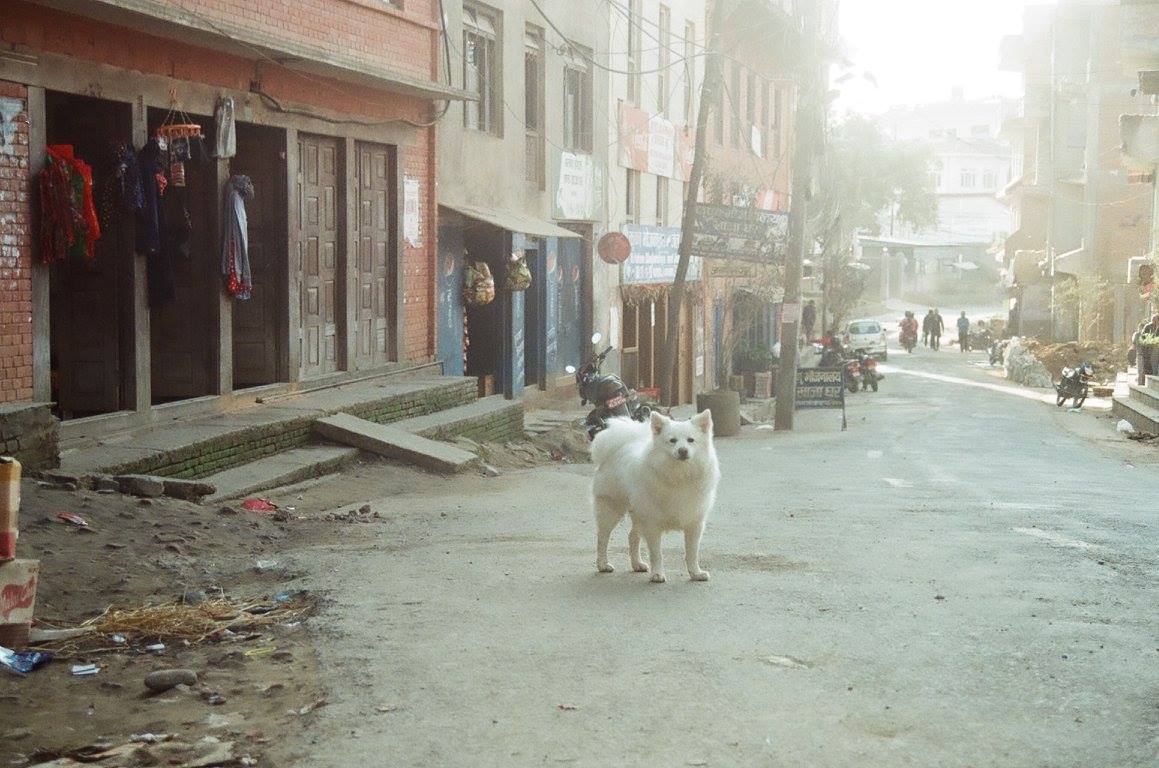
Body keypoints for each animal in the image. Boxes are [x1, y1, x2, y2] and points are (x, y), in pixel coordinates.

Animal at [590, 410, 720, 583]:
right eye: (672, 441)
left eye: (691, 440)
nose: (683, 450)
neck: (679, 475)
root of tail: (621, 446)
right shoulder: (652, 524)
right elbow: (656, 554)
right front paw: (657, 574)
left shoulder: (694, 523)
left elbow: (692, 553)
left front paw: (696, 573)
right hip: (611, 509)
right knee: (602, 538)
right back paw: (603, 564)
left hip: (638, 513)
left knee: (632, 536)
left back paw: (637, 564)